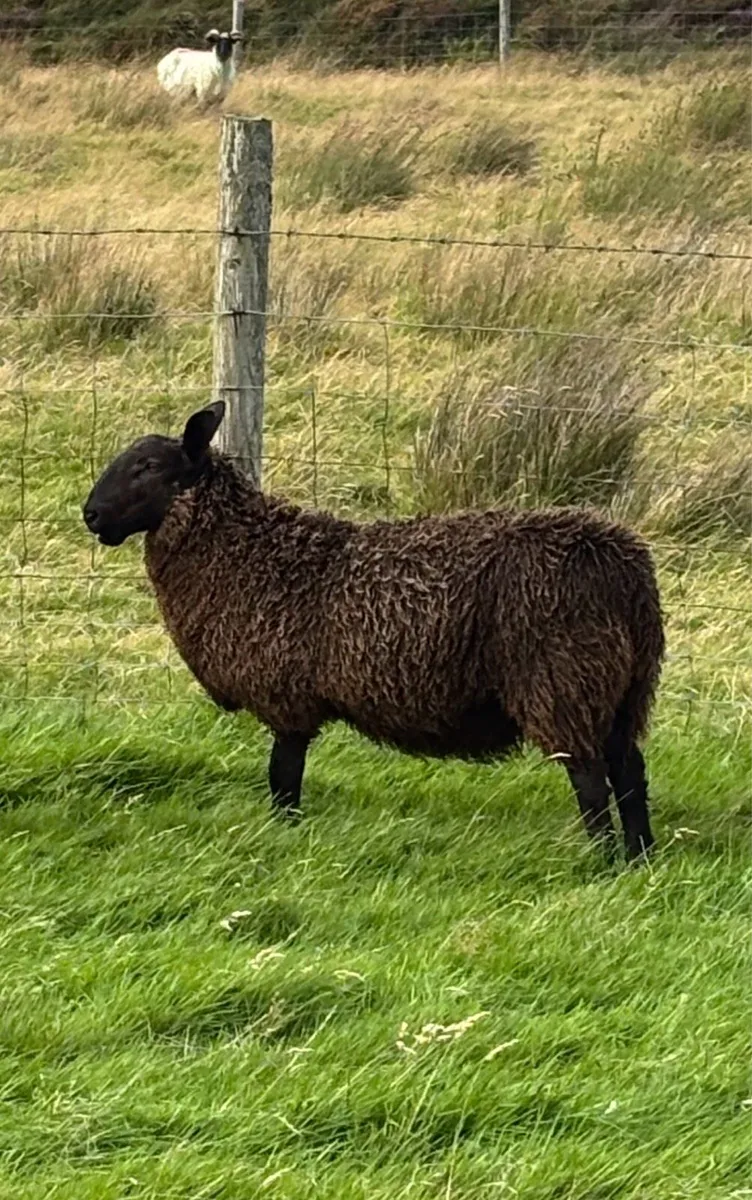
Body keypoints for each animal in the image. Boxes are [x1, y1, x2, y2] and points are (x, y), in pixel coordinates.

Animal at [82, 401, 665, 862]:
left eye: (147, 466)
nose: (90, 515)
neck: (249, 552)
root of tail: (624, 567)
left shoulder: (287, 700)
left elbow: (283, 779)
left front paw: (284, 835)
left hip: (561, 681)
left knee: (590, 778)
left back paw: (601, 861)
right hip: (622, 689)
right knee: (629, 772)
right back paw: (639, 859)